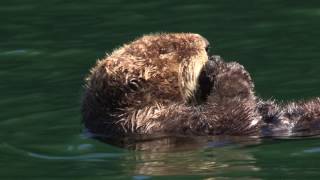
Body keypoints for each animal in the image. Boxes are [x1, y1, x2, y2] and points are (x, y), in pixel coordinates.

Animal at [81, 32, 262, 139]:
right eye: (166, 50)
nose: (207, 44)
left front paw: (214, 64)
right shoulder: (167, 124)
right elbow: (232, 118)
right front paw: (229, 70)